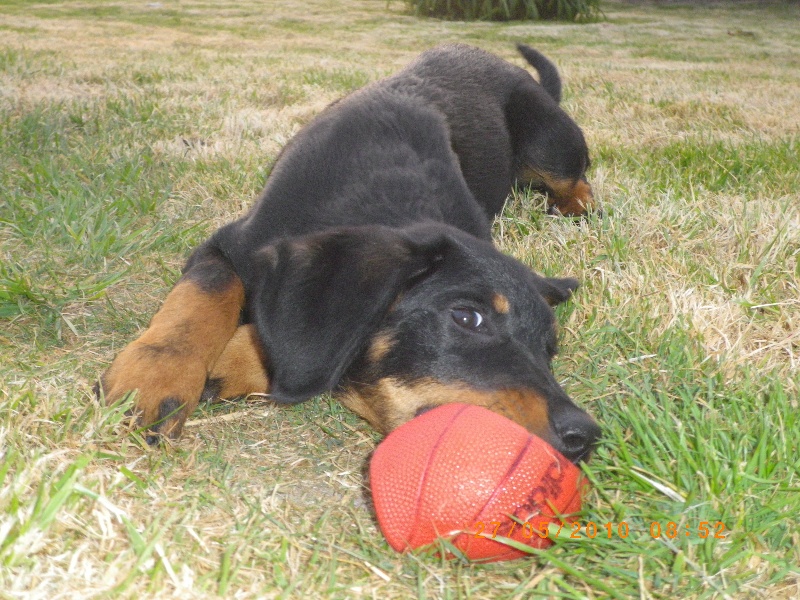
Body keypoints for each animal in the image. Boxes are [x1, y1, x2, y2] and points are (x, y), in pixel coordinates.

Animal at [98, 44, 600, 462]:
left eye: (549, 349)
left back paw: (578, 208)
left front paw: (235, 359)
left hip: (553, 143)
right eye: (467, 317)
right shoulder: (229, 242)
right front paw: (158, 375)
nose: (586, 435)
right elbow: (202, 296)